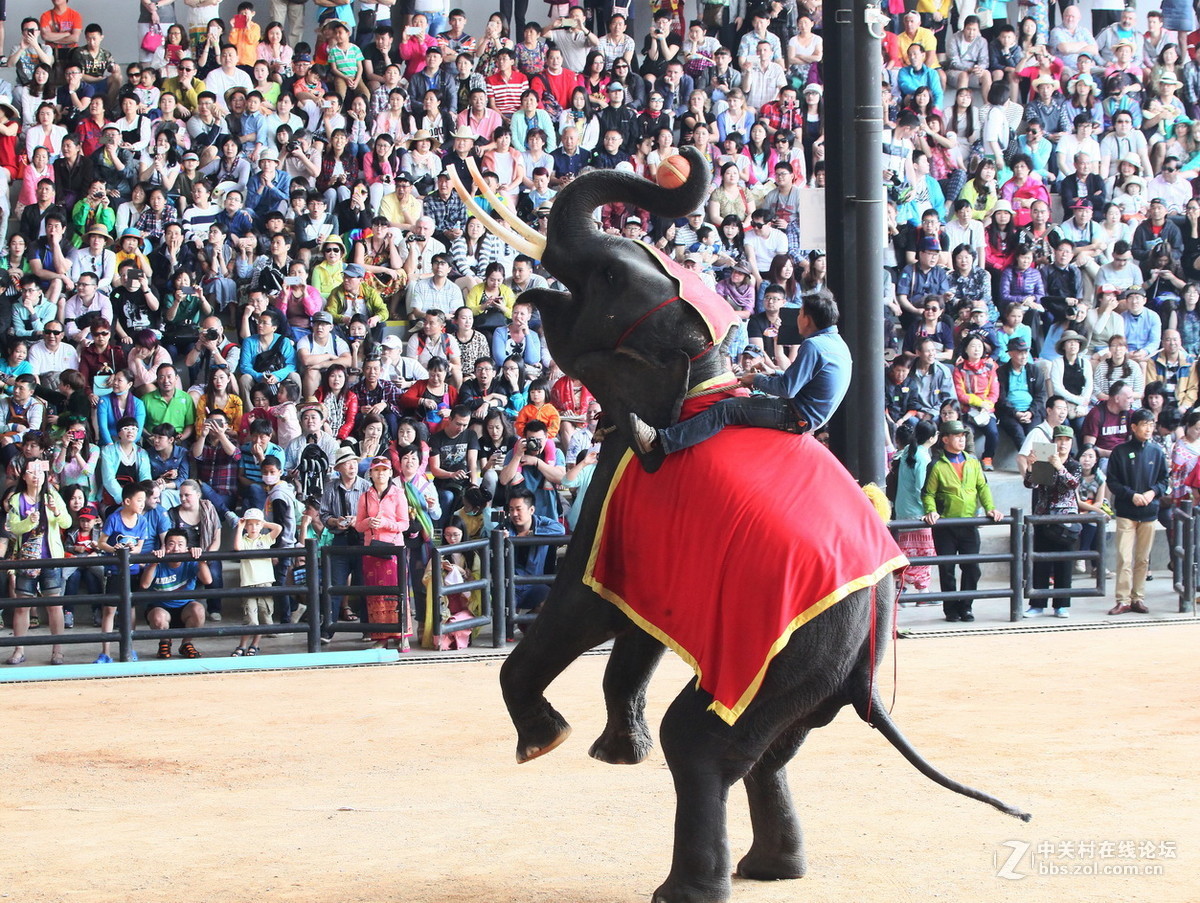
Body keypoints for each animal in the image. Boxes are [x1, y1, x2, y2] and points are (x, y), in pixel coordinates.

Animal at [451, 148, 1032, 903]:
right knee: (768, 752)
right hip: (814, 681)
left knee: (700, 746)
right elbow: (638, 626)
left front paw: (546, 741)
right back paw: (769, 868)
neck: (706, 379)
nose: (673, 163)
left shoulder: (625, 476)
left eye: (609, 277)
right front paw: (615, 751)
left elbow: (586, 605)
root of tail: (866, 669)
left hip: (792, 658)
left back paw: (686, 889)